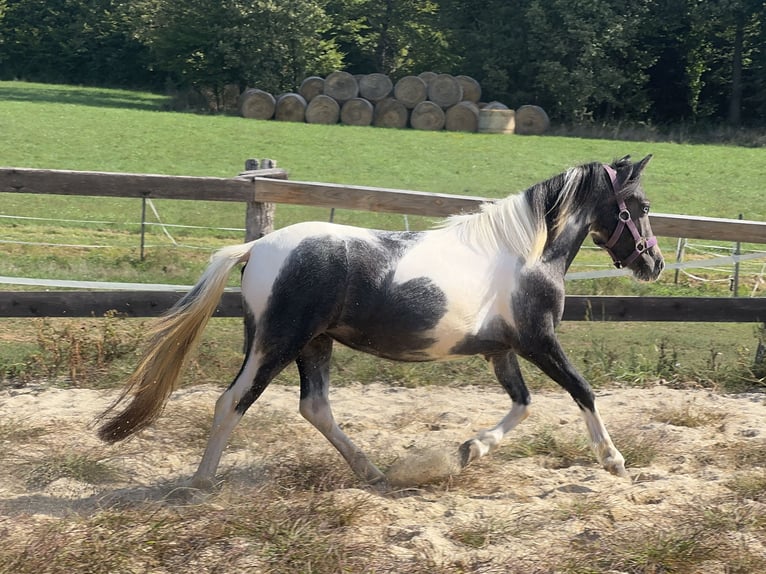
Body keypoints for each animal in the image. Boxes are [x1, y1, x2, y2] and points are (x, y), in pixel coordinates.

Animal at [97, 155, 664, 489]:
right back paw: (201, 483)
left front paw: (467, 451)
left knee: (315, 407)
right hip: (275, 342)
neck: (527, 253)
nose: (653, 263)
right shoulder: (538, 341)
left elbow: (522, 405)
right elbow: (582, 390)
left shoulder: (501, 350)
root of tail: (257, 247)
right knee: (232, 401)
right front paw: (614, 461)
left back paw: (373, 472)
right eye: (638, 205)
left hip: (314, 344)